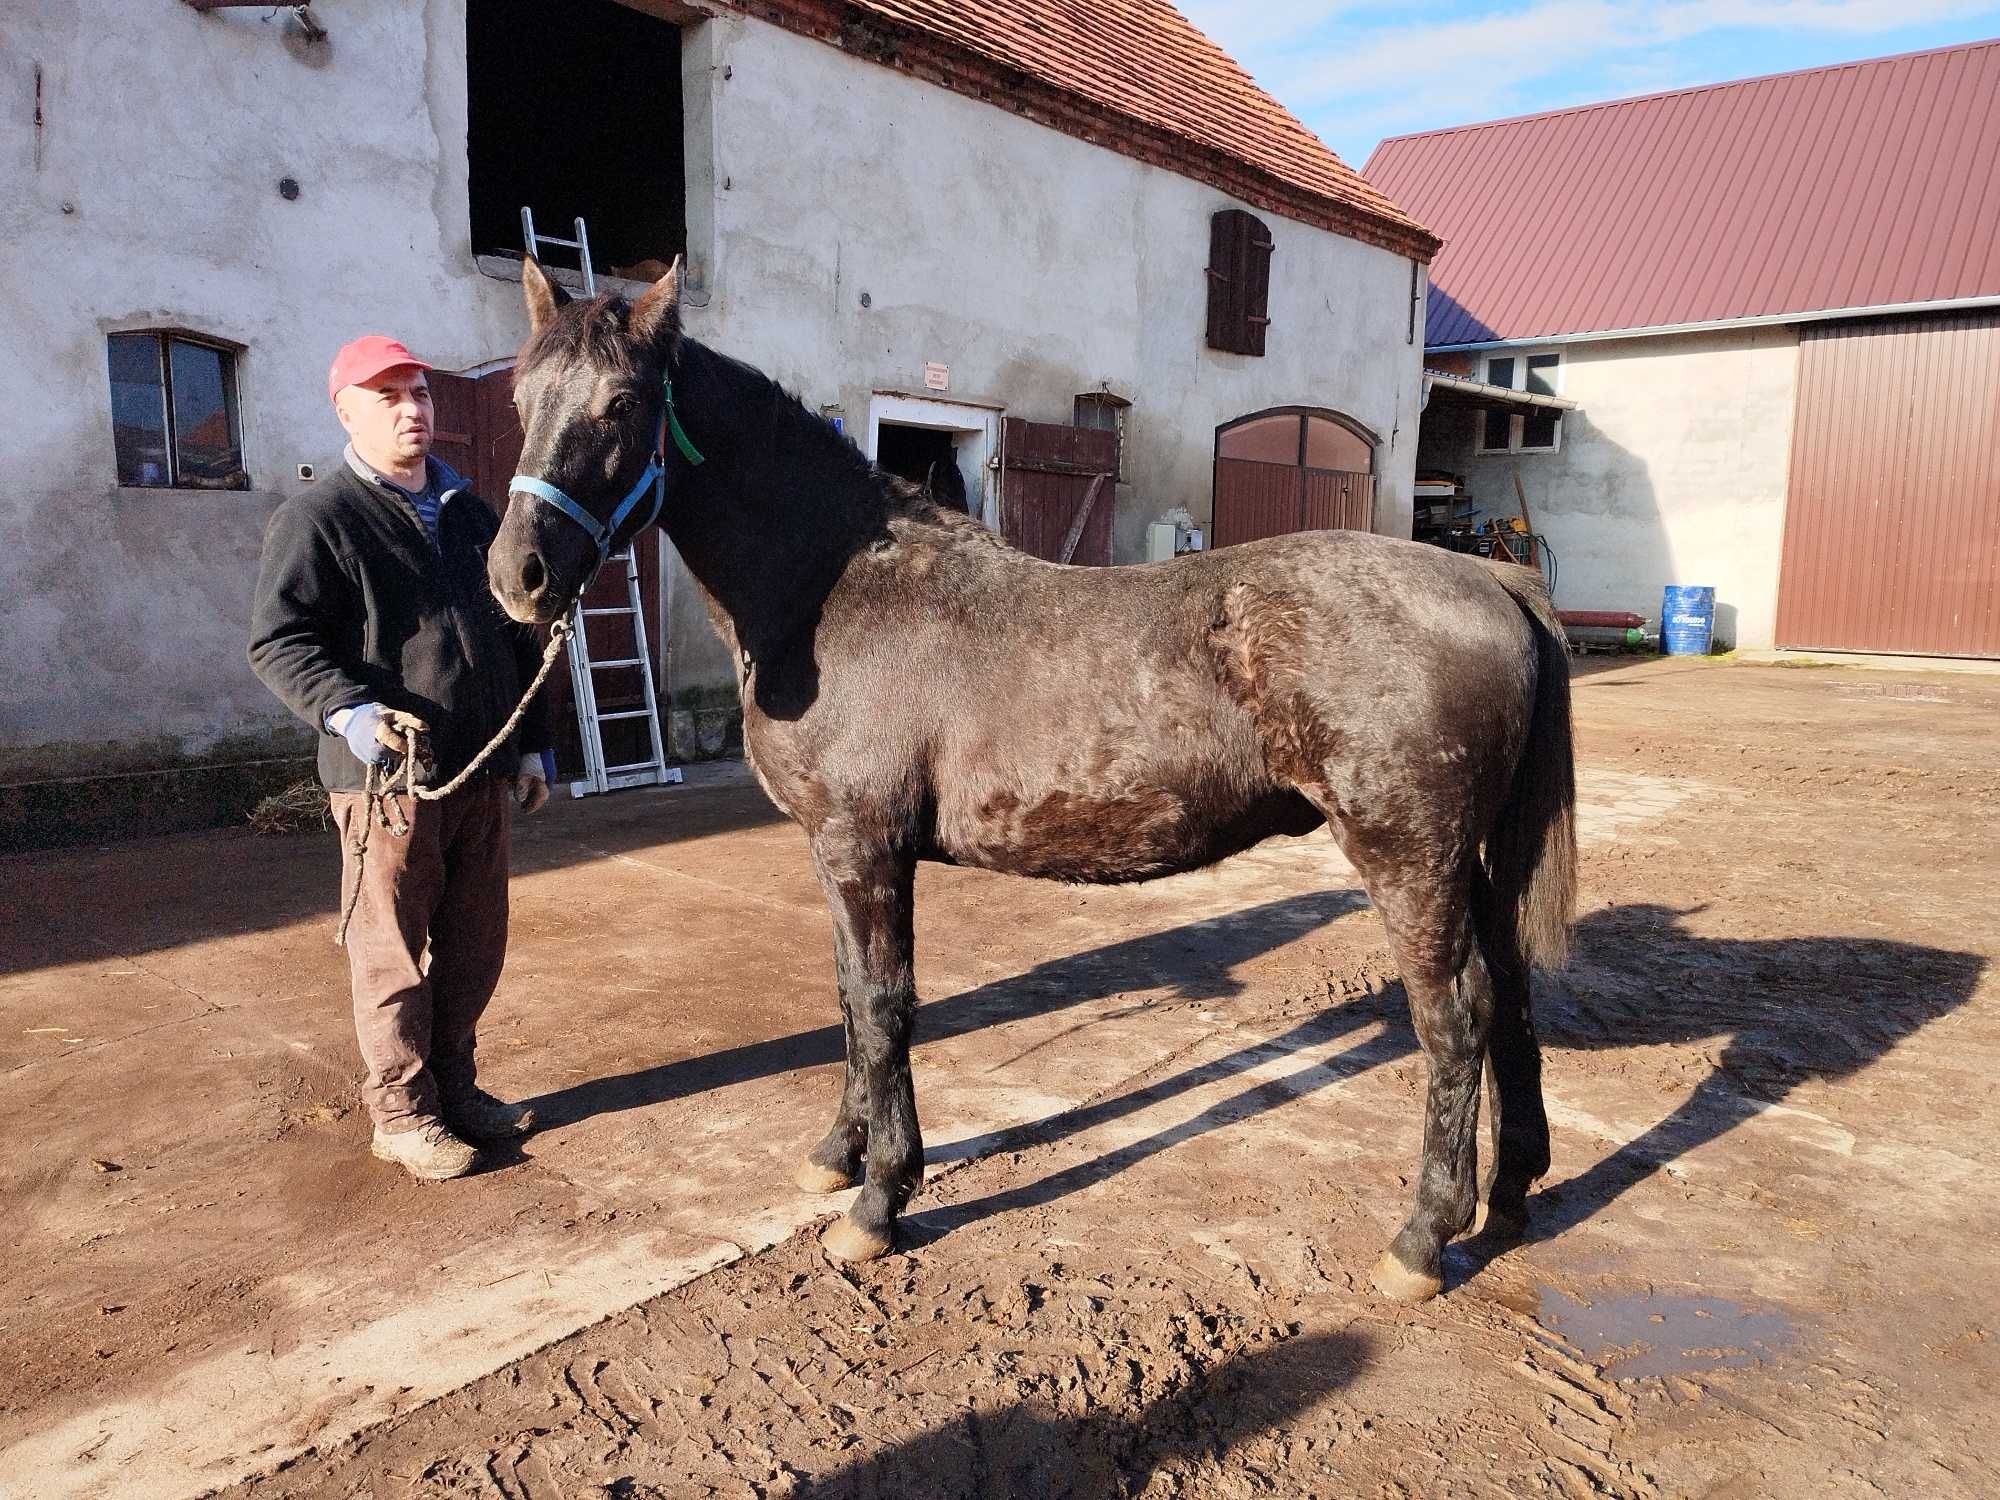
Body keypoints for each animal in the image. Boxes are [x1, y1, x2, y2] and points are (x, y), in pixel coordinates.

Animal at [488, 262, 1576, 1304]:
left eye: (622, 402)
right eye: (519, 396)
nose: (518, 576)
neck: (833, 591)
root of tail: (1492, 580)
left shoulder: (862, 847)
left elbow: (881, 1008)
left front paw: (878, 1202)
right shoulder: (834, 853)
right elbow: (847, 1003)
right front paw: (836, 1157)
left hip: (1409, 859)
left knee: (1457, 1018)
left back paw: (1419, 1240)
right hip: (1469, 861)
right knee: (1512, 996)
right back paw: (1510, 1195)